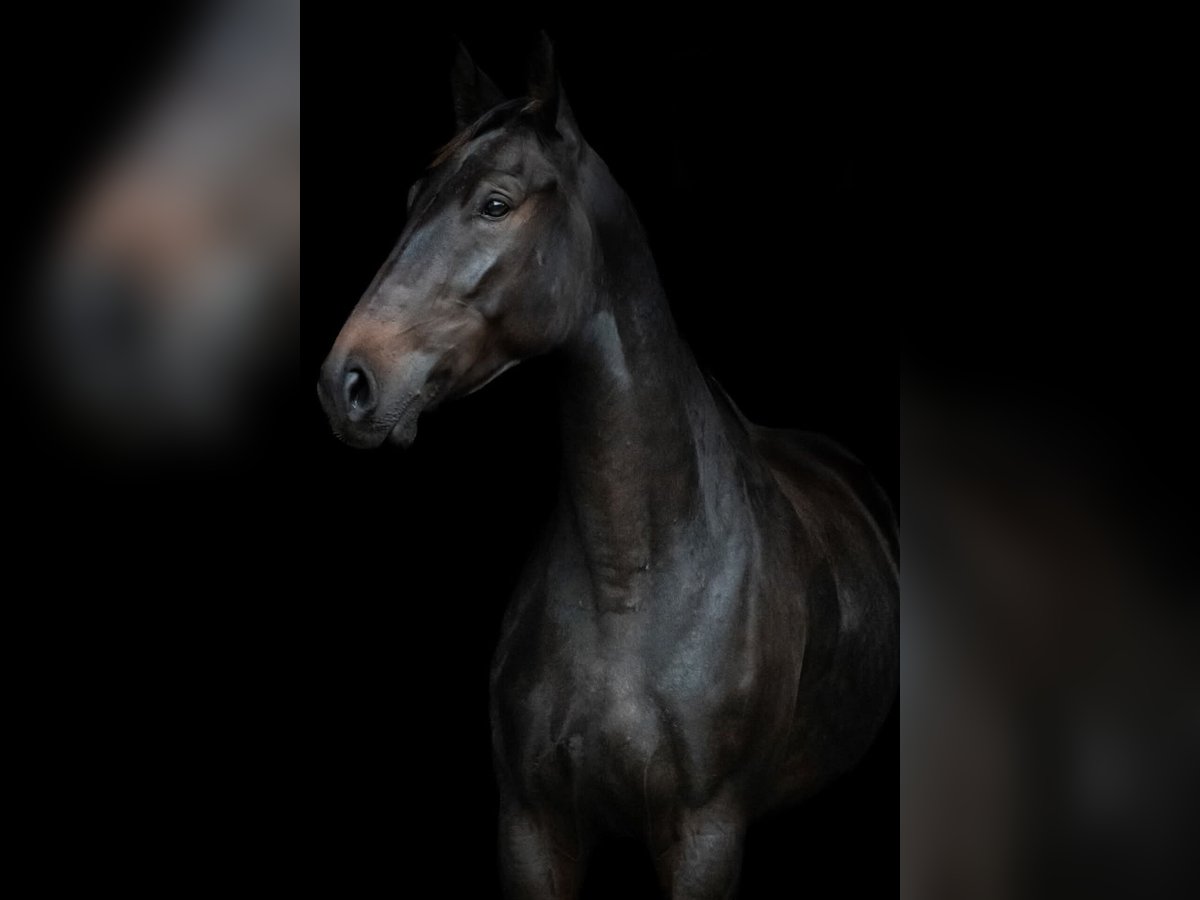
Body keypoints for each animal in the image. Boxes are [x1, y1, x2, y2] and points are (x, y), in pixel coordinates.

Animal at [318, 38, 898, 900]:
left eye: (496, 203)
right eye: (415, 195)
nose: (347, 382)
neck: (630, 582)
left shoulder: (705, 834)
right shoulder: (532, 828)